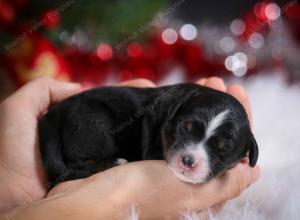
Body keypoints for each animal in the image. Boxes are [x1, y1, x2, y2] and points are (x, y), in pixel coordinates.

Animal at [39, 82, 258, 186]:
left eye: (223, 149)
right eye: (184, 128)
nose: (188, 160)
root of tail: (52, 115)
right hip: (96, 122)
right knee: (75, 164)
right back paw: (114, 162)